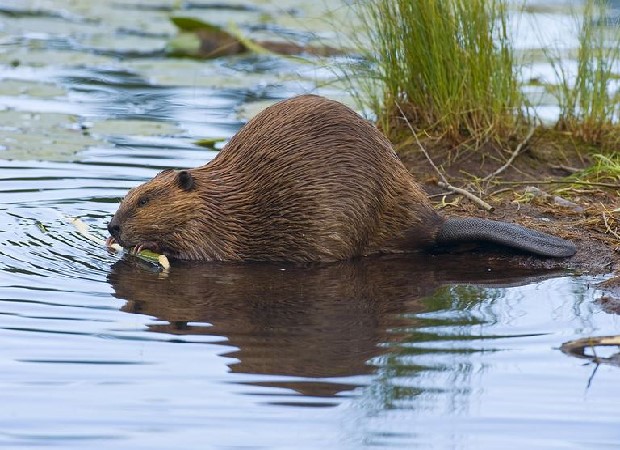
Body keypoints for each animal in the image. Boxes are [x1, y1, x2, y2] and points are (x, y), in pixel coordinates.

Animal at [106, 95, 576, 264]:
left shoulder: (219, 229)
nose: (111, 225)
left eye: (145, 200)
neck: (218, 197)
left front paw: (143, 247)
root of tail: (437, 223)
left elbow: (201, 253)